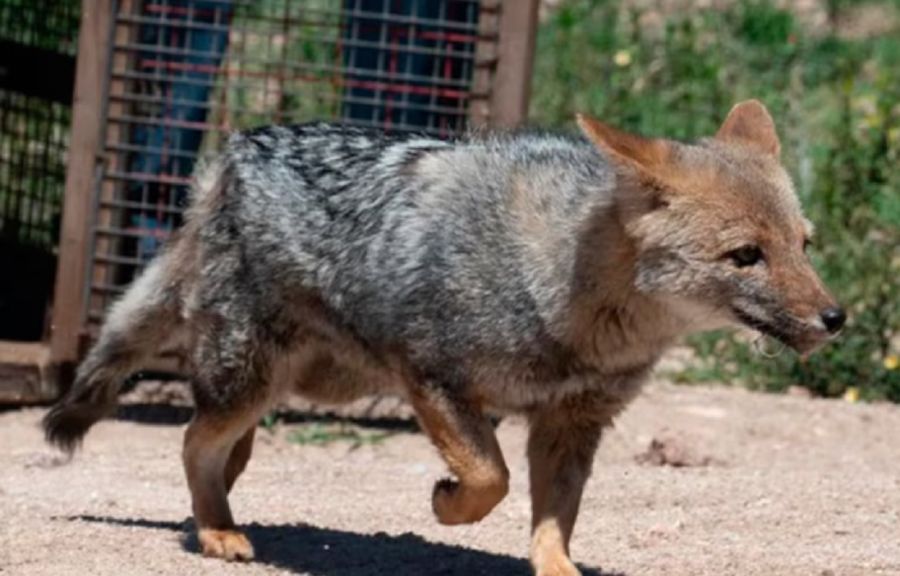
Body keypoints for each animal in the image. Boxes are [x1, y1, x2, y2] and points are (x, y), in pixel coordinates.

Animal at [44, 99, 844, 576]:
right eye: (746, 256)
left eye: (804, 245)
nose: (837, 318)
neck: (565, 291)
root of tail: (233, 154)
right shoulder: (430, 377)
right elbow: (490, 476)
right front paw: (445, 502)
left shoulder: (572, 424)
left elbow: (553, 522)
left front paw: (555, 567)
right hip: (253, 381)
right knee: (192, 442)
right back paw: (217, 533)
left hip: (289, 386)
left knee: (220, 453)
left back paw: (219, 516)